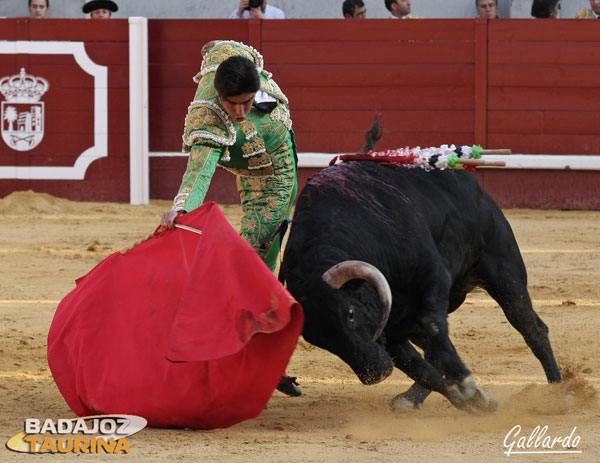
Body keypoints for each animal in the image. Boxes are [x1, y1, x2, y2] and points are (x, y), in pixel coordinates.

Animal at [280, 162, 564, 414]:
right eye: (318, 340)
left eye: (349, 313)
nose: (374, 374)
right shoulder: (389, 329)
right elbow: (423, 369)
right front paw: (474, 401)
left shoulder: (432, 275)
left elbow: (432, 329)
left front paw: (468, 388)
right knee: (432, 350)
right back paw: (413, 398)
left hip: (503, 271)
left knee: (530, 326)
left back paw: (559, 393)